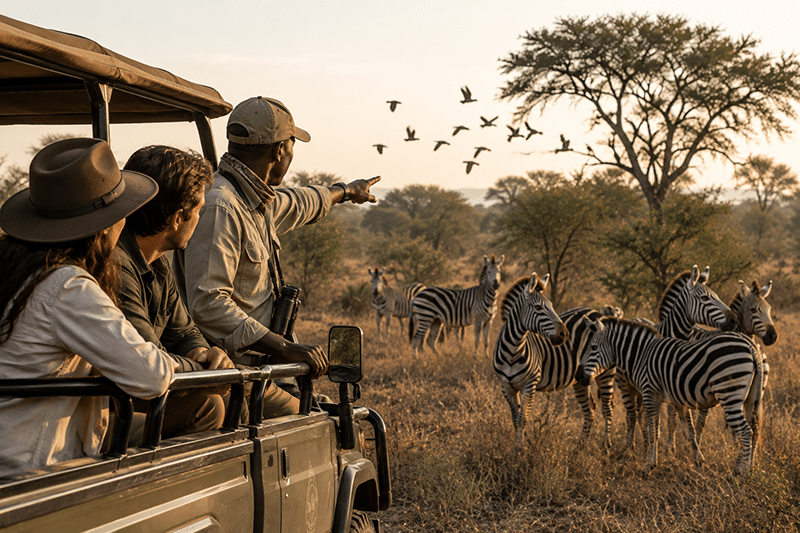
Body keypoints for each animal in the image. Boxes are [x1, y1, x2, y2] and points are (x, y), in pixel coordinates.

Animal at [494, 276, 619, 448]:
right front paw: (519, 446)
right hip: (581, 378)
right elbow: (515, 419)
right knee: (590, 409)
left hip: (605, 373)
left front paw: (520, 449)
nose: (565, 334)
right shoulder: (506, 387)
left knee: (607, 409)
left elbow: (522, 419)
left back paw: (607, 446)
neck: (512, 351)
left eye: (552, 306)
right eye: (538, 307)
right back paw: (579, 447)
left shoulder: (530, 385)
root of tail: (597, 313)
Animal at [577, 316, 764, 475]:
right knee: (754, 430)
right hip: (750, 398)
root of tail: (751, 346)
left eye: (593, 348)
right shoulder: (679, 401)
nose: (578, 376)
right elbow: (690, 432)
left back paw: (740, 473)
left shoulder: (650, 394)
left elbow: (654, 432)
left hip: (729, 394)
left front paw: (649, 466)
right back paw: (750, 468)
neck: (641, 355)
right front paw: (698, 461)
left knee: (745, 431)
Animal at [617, 265, 737, 451]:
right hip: (624, 385)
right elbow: (669, 420)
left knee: (640, 414)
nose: (733, 320)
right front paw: (670, 448)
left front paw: (681, 445)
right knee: (631, 416)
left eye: (717, 296)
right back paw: (629, 447)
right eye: (704, 298)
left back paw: (644, 443)